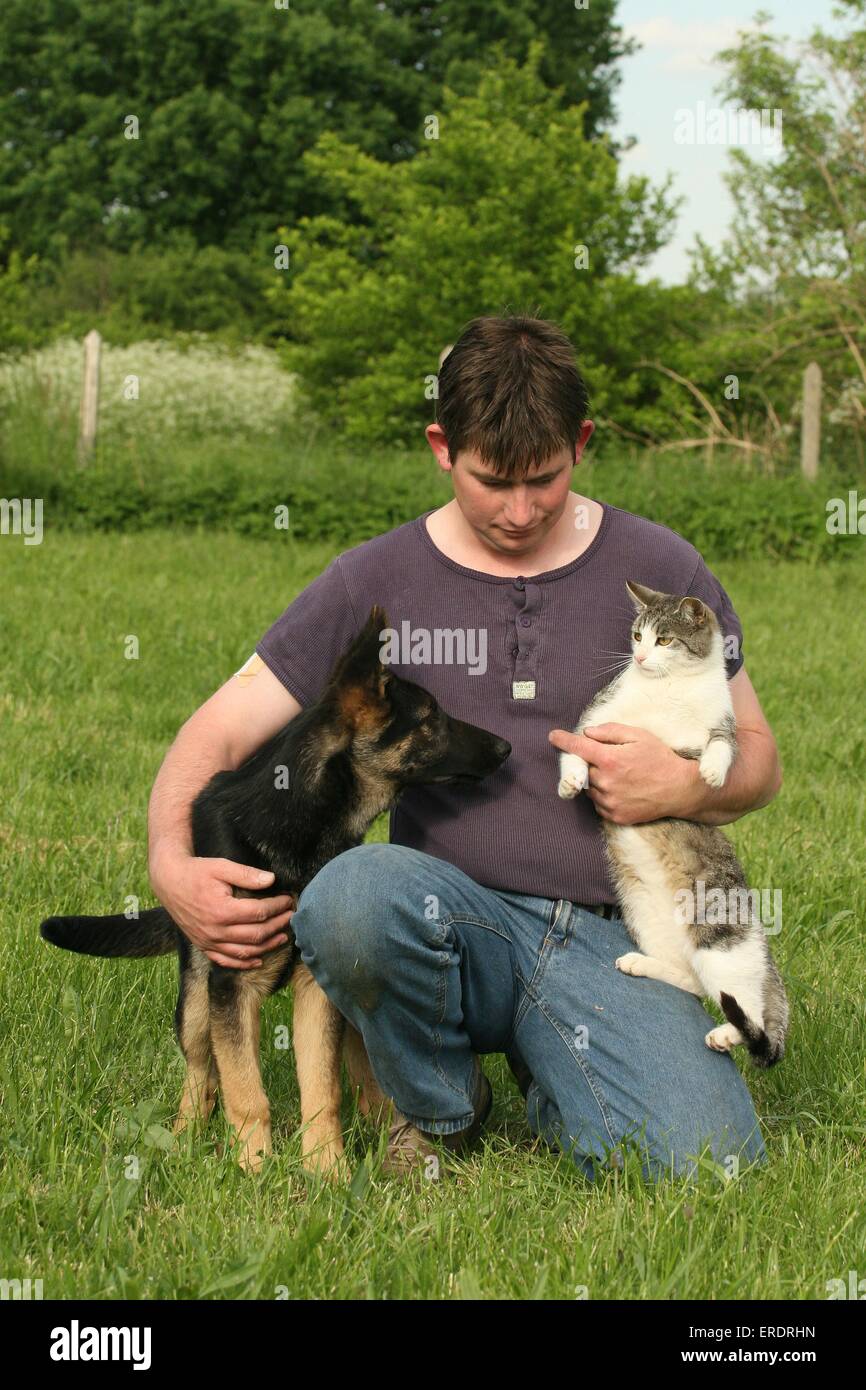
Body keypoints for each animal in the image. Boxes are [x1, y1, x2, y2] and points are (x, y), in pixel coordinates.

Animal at [42, 606, 508, 1173]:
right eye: (431, 718)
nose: (506, 747)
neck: (299, 821)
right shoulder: (232, 985)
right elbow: (245, 1091)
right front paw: (254, 1167)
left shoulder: (315, 990)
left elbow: (323, 1089)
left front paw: (326, 1169)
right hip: (196, 1000)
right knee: (200, 1072)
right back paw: (187, 1138)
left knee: (361, 1065)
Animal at [558, 575, 789, 1061]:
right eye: (637, 636)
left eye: (664, 640)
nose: (641, 657)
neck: (669, 687)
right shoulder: (595, 719)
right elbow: (573, 747)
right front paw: (571, 780)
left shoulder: (723, 724)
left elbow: (723, 745)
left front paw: (712, 772)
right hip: (647, 921)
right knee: (693, 982)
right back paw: (641, 964)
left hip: (721, 940)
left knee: (746, 1008)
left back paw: (727, 1034)